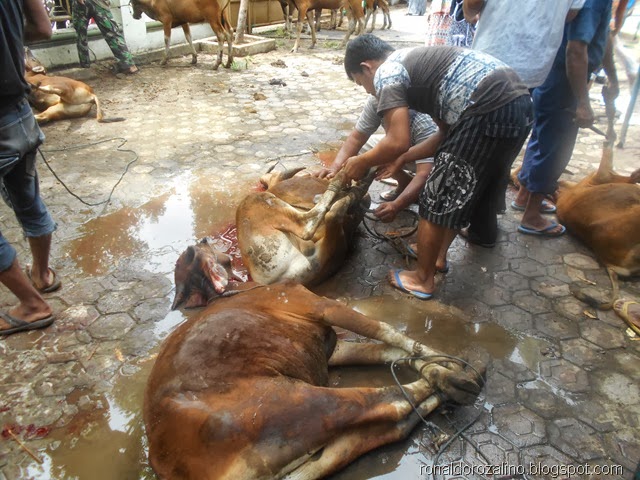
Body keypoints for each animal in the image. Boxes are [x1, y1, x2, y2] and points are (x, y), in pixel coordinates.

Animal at [146, 270, 484, 480]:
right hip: (297, 404)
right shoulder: (320, 306)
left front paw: (441, 365)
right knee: (392, 404)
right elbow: (386, 331)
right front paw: (447, 368)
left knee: (372, 434)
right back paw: (458, 385)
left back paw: (451, 384)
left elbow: (388, 350)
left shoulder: (329, 347)